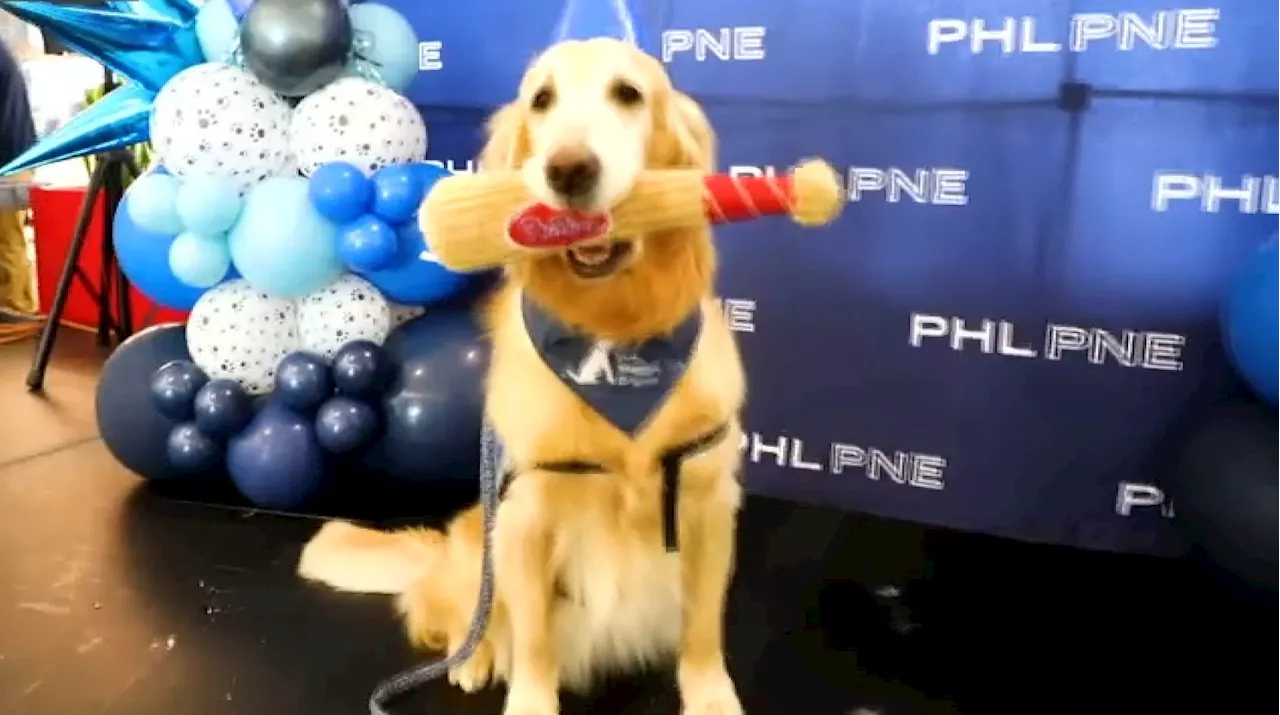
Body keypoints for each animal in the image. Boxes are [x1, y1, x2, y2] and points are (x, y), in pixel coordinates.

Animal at [296, 37, 747, 715]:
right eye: (542, 100)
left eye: (628, 93)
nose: (568, 170)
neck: (612, 334)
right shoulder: (525, 517)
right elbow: (533, 643)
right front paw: (530, 699)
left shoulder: (708, 502)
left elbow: (703, 630)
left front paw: (712, 697)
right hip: (479, 539)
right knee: (465, 616)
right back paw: (472, 658)